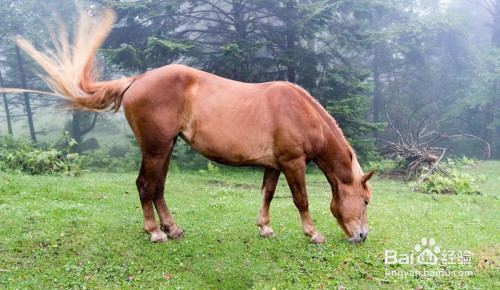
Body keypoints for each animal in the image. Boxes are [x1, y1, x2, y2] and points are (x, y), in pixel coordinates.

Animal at [1, 10, 374, 244]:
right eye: (367, 202)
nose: (362, 237)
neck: (297, 110)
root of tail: (138, 79)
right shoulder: (293, 163)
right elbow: (301, 200)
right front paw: (313, 234)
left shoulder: (274, 164)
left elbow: (267, 194)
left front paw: (265, 229)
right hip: (155, 149)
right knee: (145, 186)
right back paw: (155, 232)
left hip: (165, 149)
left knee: (158, 188)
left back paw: (172, 228)